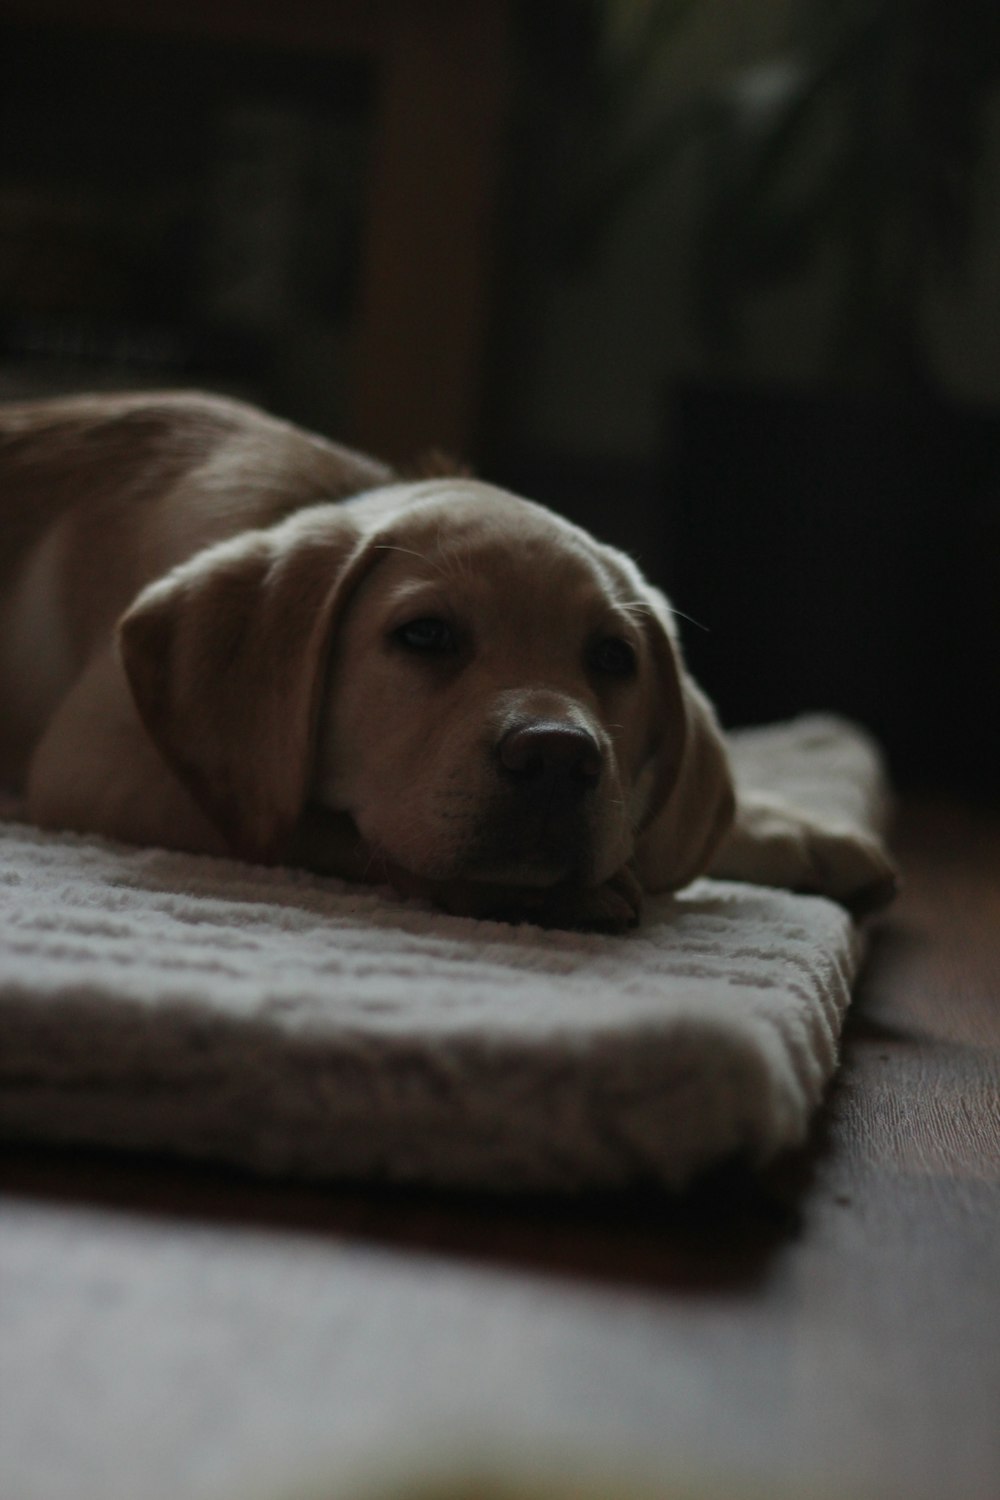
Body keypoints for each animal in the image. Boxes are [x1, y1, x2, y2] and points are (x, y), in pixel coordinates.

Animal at [0, 390, 899, 924]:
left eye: (614, 658)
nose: (558, 758)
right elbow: (316, 826)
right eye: (425, 636)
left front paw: (795, 829)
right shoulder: (97, 764)